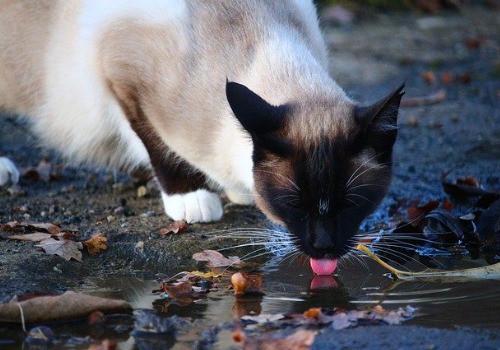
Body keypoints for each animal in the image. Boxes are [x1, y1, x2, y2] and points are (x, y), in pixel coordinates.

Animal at [0, 1, 404, 260]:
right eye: (294, 205)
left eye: (351, 204)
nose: (323, 249)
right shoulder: (122, 76)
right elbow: (156, 143)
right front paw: (191, 198)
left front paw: (237, 190)